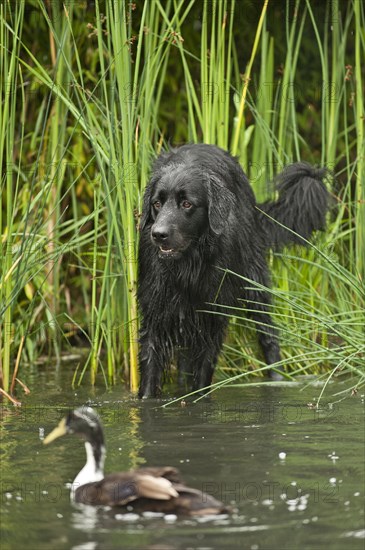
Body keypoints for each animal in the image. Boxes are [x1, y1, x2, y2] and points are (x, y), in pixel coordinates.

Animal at [136, 144, 328, 398]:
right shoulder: (155, 317)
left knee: (269, 339)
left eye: (187, 204)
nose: (158, 234)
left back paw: (278, 379)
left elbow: (203, 375)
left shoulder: (213, 320)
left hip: (255, 283)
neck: (187, 268)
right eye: (157, 204)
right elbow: (150, 373)